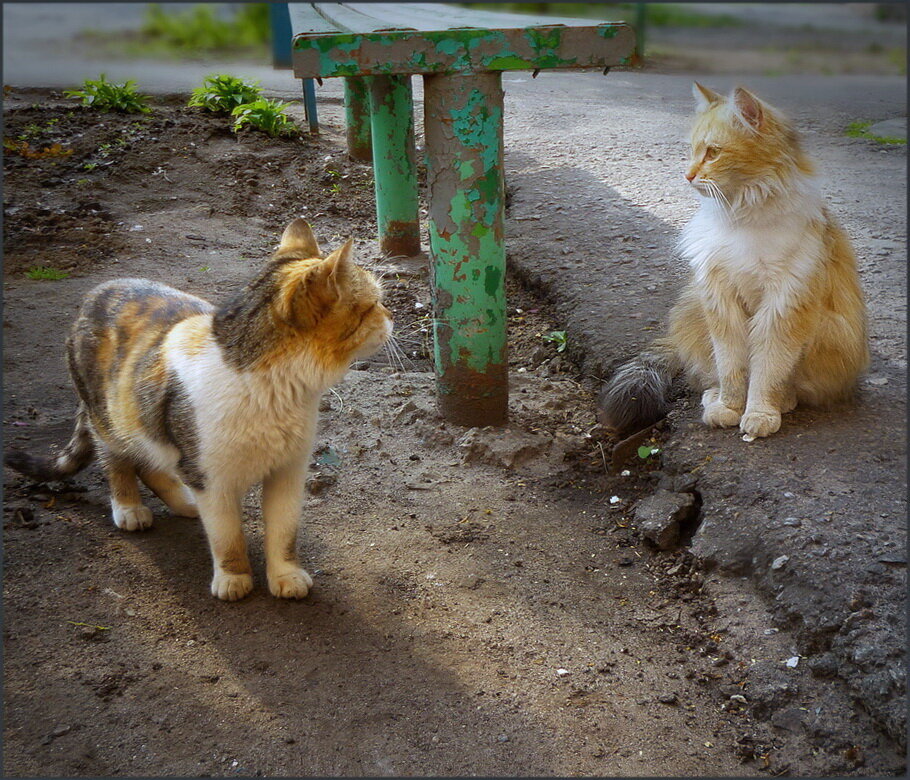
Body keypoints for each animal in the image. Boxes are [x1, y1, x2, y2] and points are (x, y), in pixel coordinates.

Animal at [7, 222, 394, 600]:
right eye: (374, 303)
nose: (391, 316)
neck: (270, 387)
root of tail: (100, 289)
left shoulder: (288, 470)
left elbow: (284, 531)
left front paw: (285, 575)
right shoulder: (210, 477)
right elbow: (227, 535)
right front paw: (234, 577)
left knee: (151, 462)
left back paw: (183, 502)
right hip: (110, 417)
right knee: (118, 460)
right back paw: (129, 507)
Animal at [604, 85, 872, 442]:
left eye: (713, 153)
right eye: (692, 151)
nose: (687, 176)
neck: (743, 214)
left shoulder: (782, 308)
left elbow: (767, 372)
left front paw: (760, 412)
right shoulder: (720, 300)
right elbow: (730, 367)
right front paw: (729, 407)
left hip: (829, 332)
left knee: (793, 385)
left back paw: (782, 402)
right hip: (694, 308)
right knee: (710, 372)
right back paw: (714, 396)